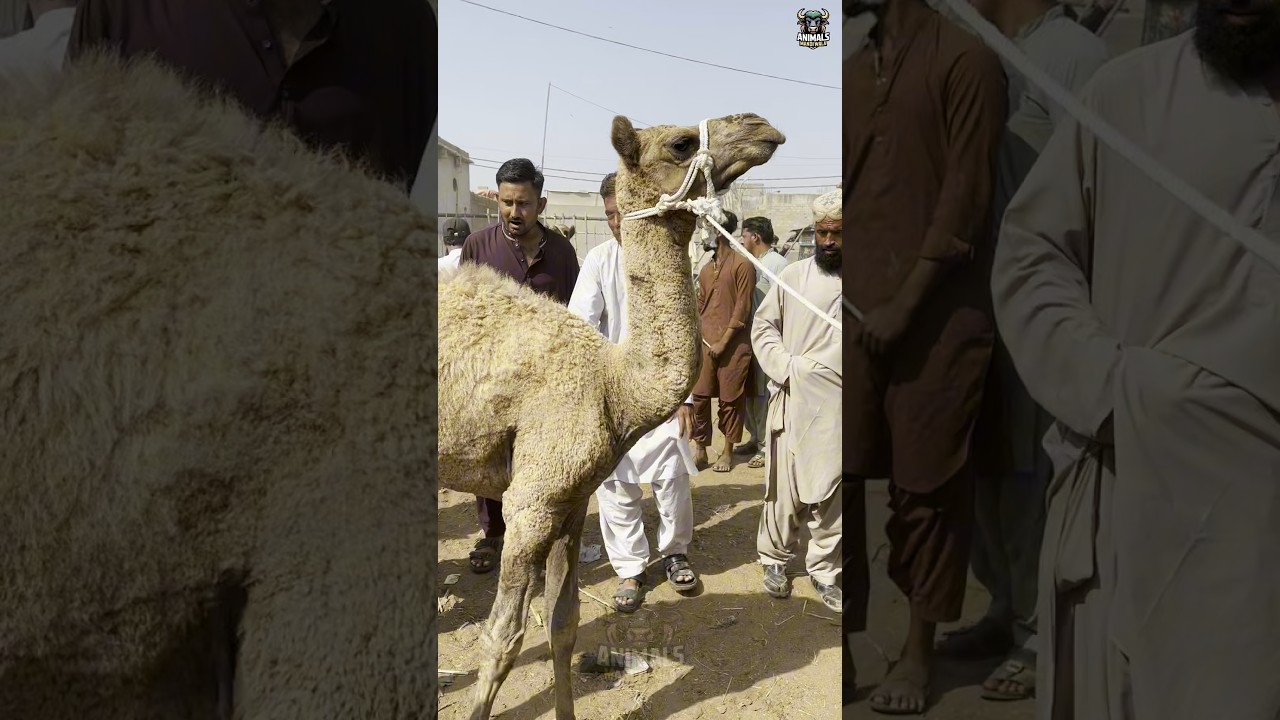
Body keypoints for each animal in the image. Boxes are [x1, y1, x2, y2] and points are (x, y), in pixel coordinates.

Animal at [439, 112, 785, 719]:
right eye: (681, 143)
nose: (761, 125)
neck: (613, 382)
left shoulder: (572, 500)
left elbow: (564, 623)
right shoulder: (531, 501)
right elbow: (501, 637)